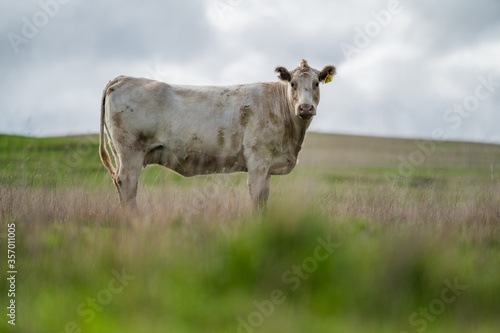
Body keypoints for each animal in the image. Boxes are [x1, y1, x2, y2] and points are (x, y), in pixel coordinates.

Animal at [98, 59, 336, 210]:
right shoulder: (258, 159)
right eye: (293, 84)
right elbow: (256, 198)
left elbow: (264, 200)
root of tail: (123, 78)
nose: (305, 108)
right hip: (131, 151)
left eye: (316, 83)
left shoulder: (268, 166)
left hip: (121, 153)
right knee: (128, 185)